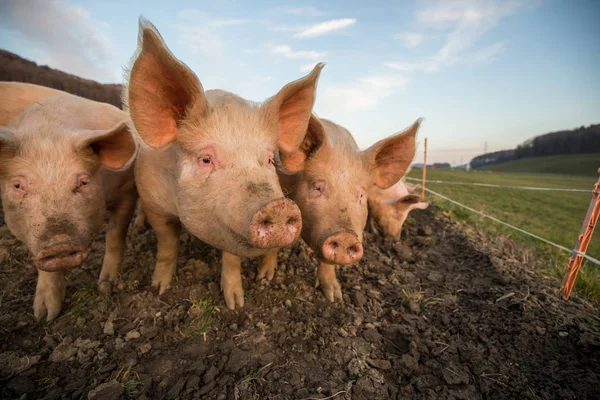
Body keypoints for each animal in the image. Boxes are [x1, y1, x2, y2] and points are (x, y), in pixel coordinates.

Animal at [0, 82, 137, 322]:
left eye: (83, 182)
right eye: (17, 186)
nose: (59, 244)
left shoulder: (127, 188)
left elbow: (115, 234)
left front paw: (106, 284)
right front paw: (44, 316)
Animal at [122, 18, 324, 310]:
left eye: (268, 159)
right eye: (206, 159)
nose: (278, 206)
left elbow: (231, 259)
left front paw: (235, 304)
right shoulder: (153, 202)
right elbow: (167, 246)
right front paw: (158, 288)